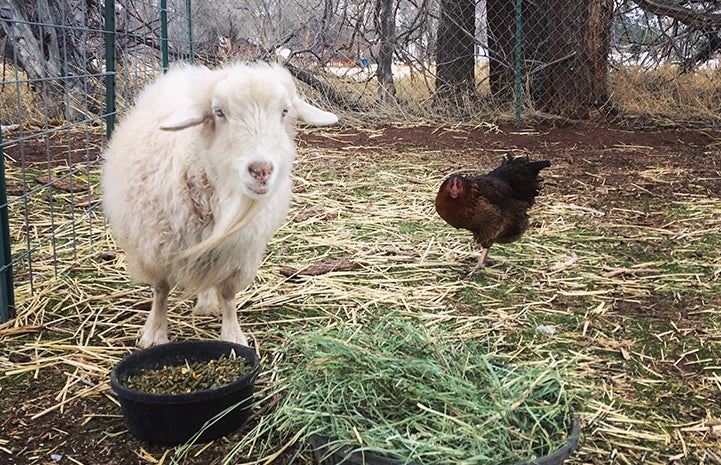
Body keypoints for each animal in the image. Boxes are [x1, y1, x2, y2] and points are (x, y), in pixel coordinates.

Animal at [102, 61, 338, 346]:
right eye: (219, 111)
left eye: (284, 111)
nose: (261, 170)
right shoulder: (155, 246)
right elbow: (161, 289)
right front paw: (155, 333)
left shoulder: (237, 252)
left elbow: (228, 294)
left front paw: (232, 334)